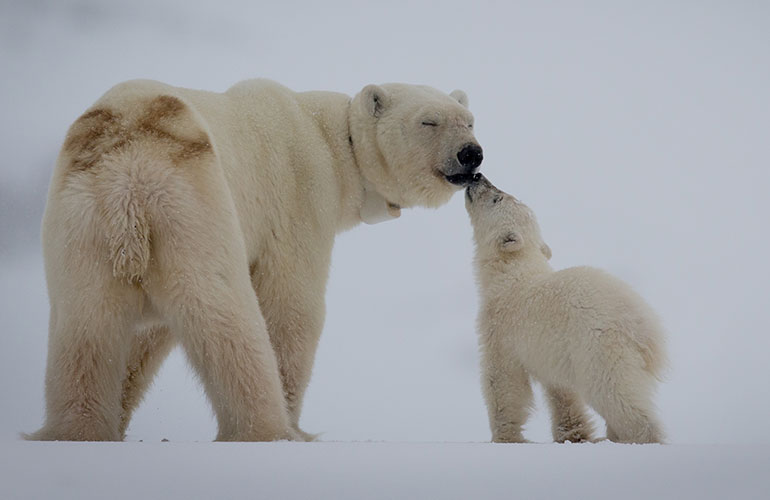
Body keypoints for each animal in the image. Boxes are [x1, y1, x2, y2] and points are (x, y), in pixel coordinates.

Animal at [25, 79, 483, 441]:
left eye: (469, 119)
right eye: (429, 121)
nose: (471, 154)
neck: (332, 141)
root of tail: (127, 182)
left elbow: (145, 337)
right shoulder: (300, 197)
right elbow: (292, 308)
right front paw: (294, 420)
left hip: (82, 226)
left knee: (85, 330)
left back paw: (75, 432)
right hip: (192, 209)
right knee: (226, 317)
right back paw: (270, 432)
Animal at [465, 174, 666, 444]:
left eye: (498, 198)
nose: (477, 176)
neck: (512, 273)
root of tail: (645, 331)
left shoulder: (501, 327)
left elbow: (503, 381)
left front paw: (505, 438)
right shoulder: (553, 348)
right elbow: (561, 392)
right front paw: (572, 434)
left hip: (600, 348)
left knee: (614, 394)